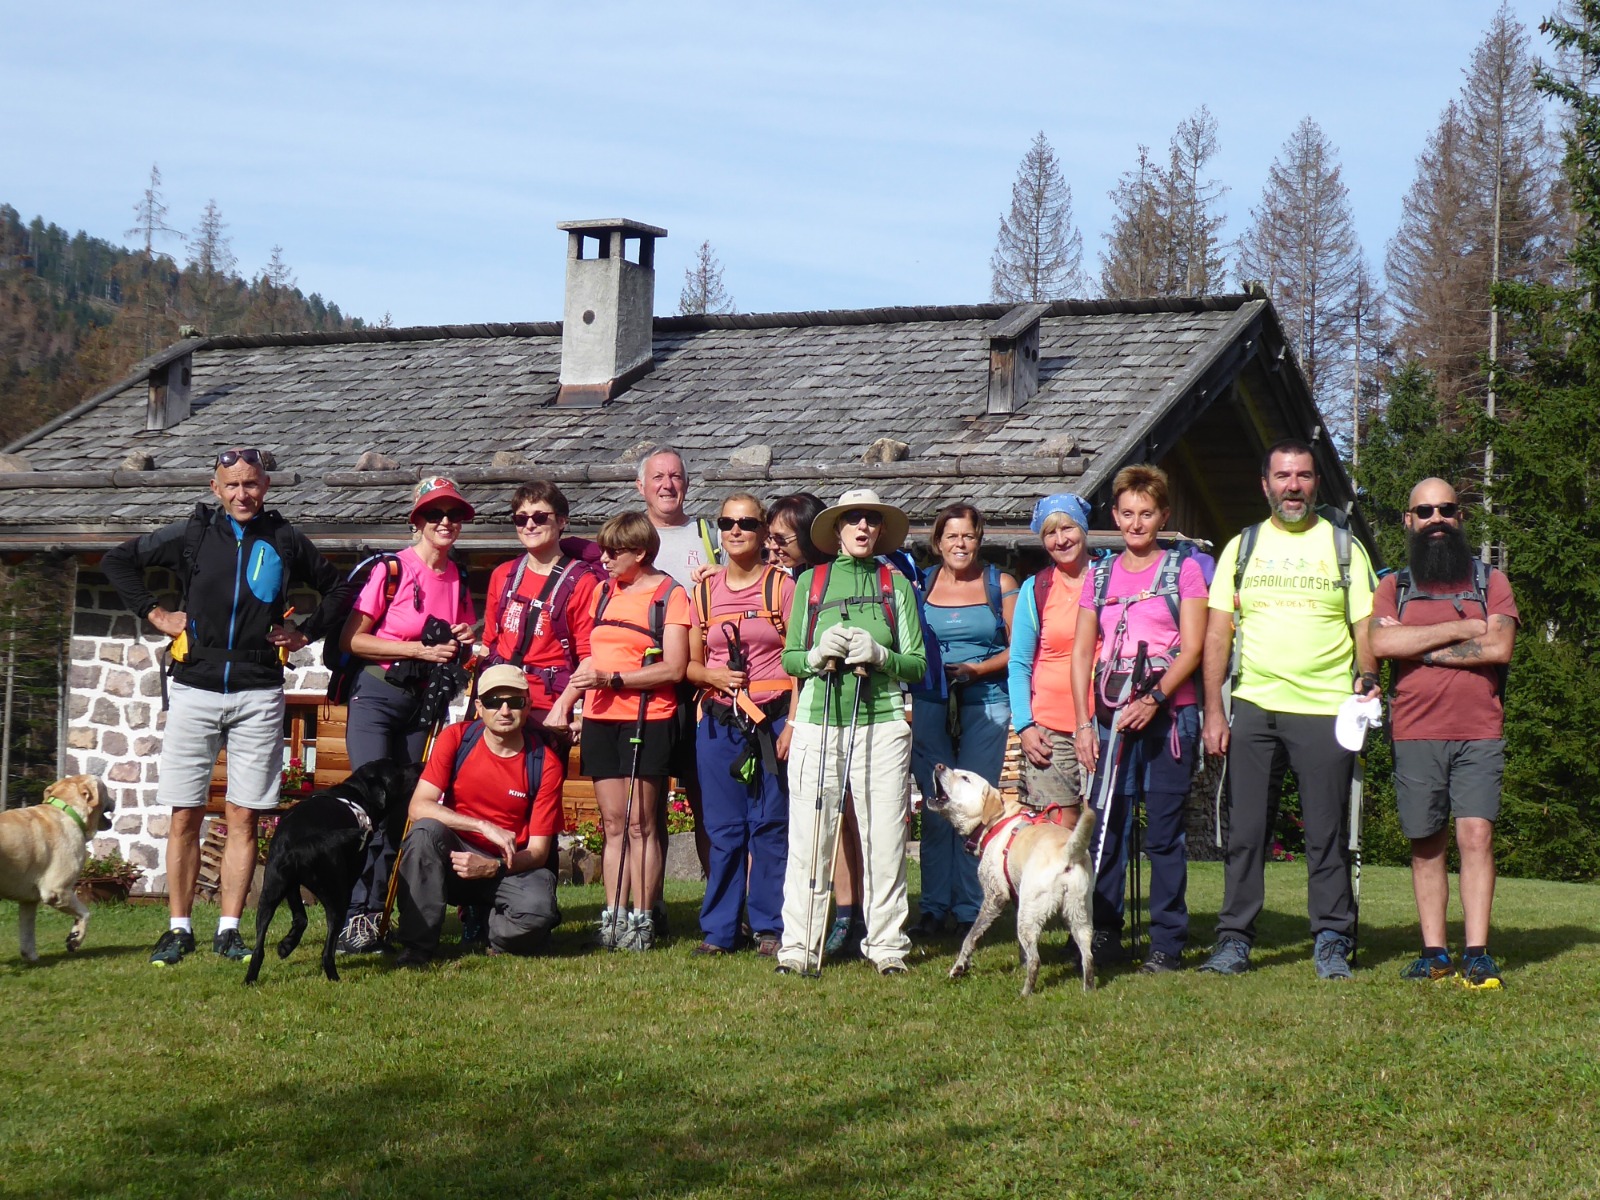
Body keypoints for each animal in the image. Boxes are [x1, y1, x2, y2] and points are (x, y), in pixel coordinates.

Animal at [0, 780, 112, 966]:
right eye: (107, 790)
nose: (114, 798)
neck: (68, 810)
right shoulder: (57, 890)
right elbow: (85, 913)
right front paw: (76, 938)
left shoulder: (28, 901)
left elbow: (27, 933)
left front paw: (32, 958)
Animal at [241, 761, 419, 985]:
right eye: (400, 768)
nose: (421, 765)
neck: (357, 792)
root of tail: (303, 842)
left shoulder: (290, 885)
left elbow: (300, 918)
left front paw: (286, 945)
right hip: (337, 897)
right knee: (327, 951)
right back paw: (334, 977)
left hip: (270, 893)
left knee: (259, 948)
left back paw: (253, 976)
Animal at [928, 771, 1100, 998]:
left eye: (965, 778)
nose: (939, 766)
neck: (996, 820)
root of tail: (1067, 852)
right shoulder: (1018, 897)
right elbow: (1020, 949)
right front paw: (1020, 963)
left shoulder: (995, 896)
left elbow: (970, 937)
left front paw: (959, 967)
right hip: (1079, 914)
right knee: (1087, 956)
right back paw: (1088, 990)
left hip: (1029, 917)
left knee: (1036, 960)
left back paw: (1025, 994)